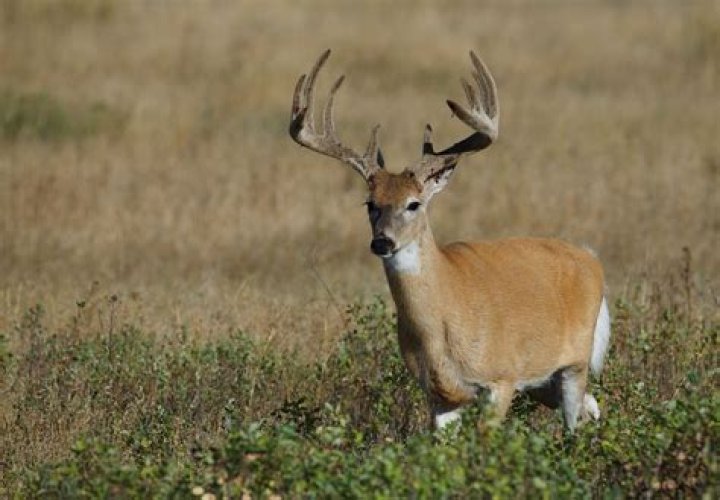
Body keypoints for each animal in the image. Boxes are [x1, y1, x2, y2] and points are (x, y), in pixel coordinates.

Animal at [288, 49, 611, 431]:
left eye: (414, 203)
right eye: (370, 204)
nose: (382, 243)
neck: (441, 325)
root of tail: (591, 257)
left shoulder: (501, 378)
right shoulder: (439, 396)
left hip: (573, 363)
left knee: (576, 419)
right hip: (543, 383)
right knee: (592, 406)